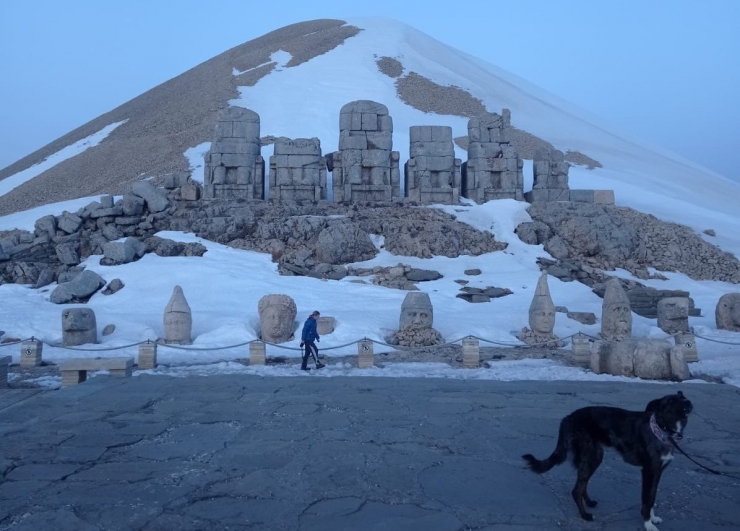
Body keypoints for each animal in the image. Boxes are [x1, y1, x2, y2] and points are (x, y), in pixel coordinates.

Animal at [524, 390, 692, 531]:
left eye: (682, 395)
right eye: (671, 401)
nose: (689, 402)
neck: (661, 430)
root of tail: (567, 418)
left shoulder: (657, 472)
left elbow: (652, 497)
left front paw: (652, 518)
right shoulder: (649, 471)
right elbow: (647, 498)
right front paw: (647, 524)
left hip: (594, 457)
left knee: (582, 484)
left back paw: (589, 503)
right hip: (590, 457)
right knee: (576, 489)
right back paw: (585, 515)